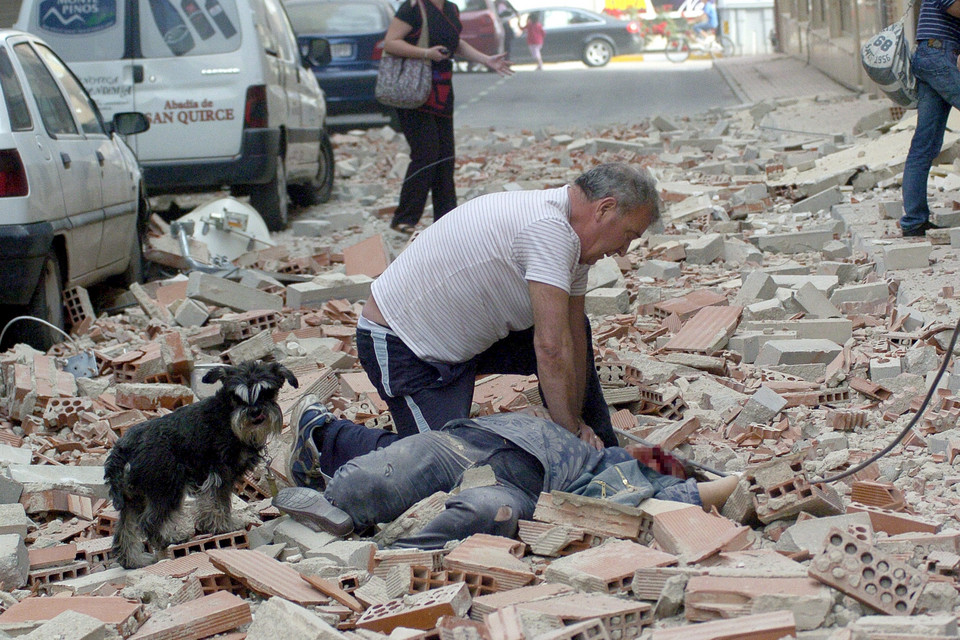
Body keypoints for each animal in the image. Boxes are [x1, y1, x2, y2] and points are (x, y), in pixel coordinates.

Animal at [104, 362, 296, 568]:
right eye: (237, 396)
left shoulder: (210, 476)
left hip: (135, 499)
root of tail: (123, 448)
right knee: (149, 521)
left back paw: (134, 560)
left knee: (125, 529)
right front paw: (226, 526)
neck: (226, 415)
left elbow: (209, 503)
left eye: (267, 392)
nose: (255, 412)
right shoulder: (220, 473)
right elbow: (220, 502)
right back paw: (167, 540)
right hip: (167, 489)